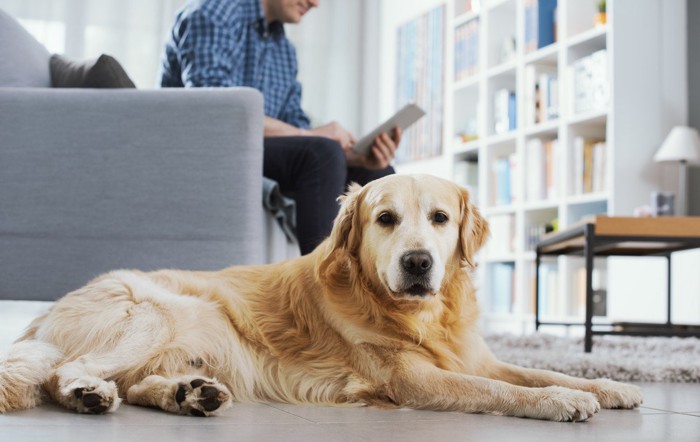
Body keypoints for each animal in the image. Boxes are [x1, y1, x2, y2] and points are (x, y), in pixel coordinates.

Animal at [1, 174, 644, 420]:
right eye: (385, 219)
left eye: (440, 218)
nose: (418, 263)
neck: (419, 315)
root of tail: (43, 316)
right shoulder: (415, 379)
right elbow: (499, 391)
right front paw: (560, 402)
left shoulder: (474, 356)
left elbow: (539, 370)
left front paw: (606, 385)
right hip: (156, 311)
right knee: (64, 373)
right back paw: (88, 394)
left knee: (139, 385)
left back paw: (190, 395)